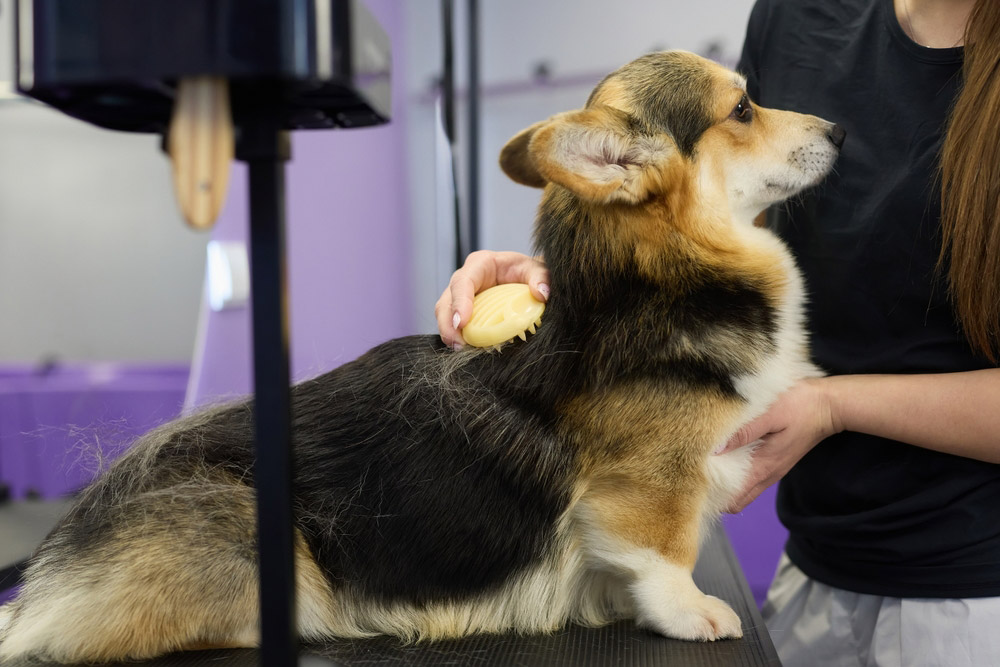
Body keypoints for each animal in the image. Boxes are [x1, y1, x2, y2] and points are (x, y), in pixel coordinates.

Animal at [0, 51, 840, 664]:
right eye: (742, 108)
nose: (839, 130)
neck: (662, 278)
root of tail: (52, 571)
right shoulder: (644, 489)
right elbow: (664, 556)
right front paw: (693, 611)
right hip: (248, 532)